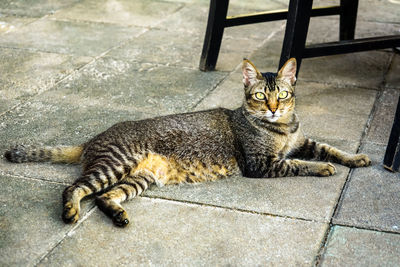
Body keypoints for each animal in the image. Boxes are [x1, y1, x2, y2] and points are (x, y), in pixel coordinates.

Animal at [3, 58, 372, 228]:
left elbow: (329, 148)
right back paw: (70, 210)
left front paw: (355, 158)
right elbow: (300, 163)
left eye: (281, 94)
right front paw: (324, 169)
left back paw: (119, 215)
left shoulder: (301, 140)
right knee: (75, 187)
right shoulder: (261, 163)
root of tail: (92, 139)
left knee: (106, 197)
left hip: (141, 177)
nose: (272, 107)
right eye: (259, 96)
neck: (282, 127)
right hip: (116, 164)